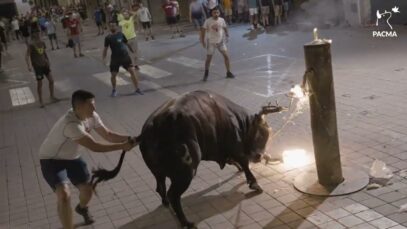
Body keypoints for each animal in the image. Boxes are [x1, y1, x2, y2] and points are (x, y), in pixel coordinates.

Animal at [91, 90, 282, 228]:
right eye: (262, 133)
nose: (259, 156)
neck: (236, 120)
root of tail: (148, 131)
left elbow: (237, 162)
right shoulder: (236, 147)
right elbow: (244, 163)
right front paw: (255, 184)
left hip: (158, 173)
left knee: (161, 188)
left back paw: (168, 207)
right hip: (185, 174)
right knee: (173, 195)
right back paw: (186, 222)